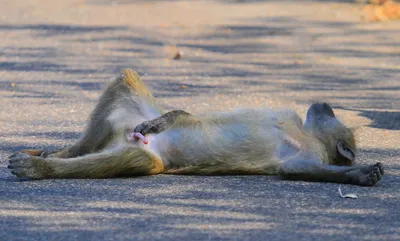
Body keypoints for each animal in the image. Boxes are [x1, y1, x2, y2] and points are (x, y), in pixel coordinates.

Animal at [7, 68, 382, 185]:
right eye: (330, 115)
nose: (324, 104)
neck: (303, 132)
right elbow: (184, 114)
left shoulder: (309, 151)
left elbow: (294, 168)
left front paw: (361, 174)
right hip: (130, 126)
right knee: (126, 81)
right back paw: (65, 152)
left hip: (143, 150)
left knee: (135, 159)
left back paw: (43, 167)